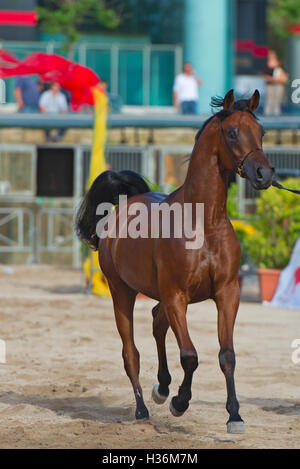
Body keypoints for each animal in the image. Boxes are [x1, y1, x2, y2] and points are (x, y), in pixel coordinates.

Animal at [77, 89, 274, 434]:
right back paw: (143, 408)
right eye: (232, 132)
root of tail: (127, 202)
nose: (264, 174)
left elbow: (227, 355)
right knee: (131, 352)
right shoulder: (177, 297)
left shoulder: (227, 293)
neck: (204, 223)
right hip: (122, 292)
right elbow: (190, 356)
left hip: (160, 296)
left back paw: (162, 387)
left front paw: (234, 416)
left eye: (261, 131)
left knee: (157, 321)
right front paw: (180, 403)